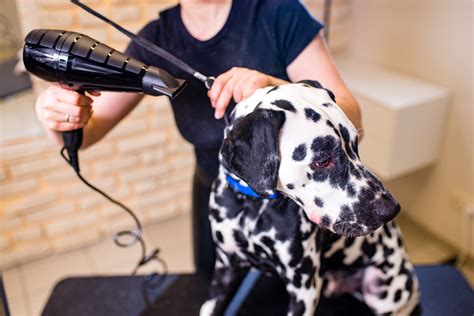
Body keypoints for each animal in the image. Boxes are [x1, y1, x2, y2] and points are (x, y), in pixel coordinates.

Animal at [200, 81, 418, 316]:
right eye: (323, 160)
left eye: (355, 144)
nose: (391, 209)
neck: (253, 207)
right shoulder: (225, 271)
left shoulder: (304, 289)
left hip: (382, 292)